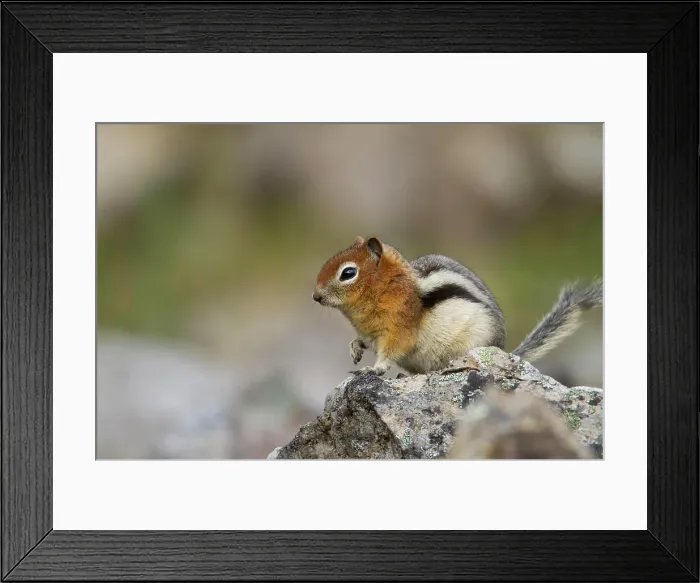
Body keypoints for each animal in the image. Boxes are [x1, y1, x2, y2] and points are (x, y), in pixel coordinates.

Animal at [312, 235, 602, 377]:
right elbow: (363, 341)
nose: (315, 297)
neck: (386, 287)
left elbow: (392, 350)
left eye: (348, 273)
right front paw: (355, 349)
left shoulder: (400, 329)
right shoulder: (370, 332)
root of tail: (505, 352)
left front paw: (375, 368)